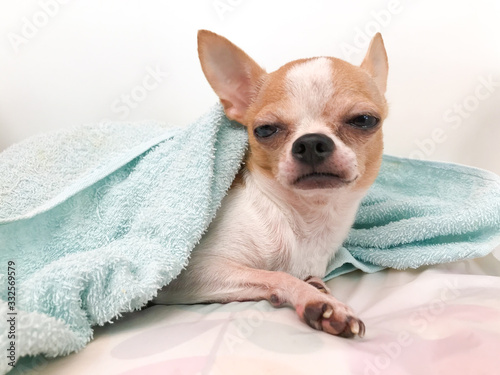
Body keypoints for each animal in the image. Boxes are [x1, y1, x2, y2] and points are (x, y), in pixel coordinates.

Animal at [154, 30, 388, 340]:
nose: (311, 143)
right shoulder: (187, 273)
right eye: (265, 130)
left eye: (364, 120)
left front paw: (316, 287)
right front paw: (318, 301)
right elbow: (276, 275)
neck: (302, 221)